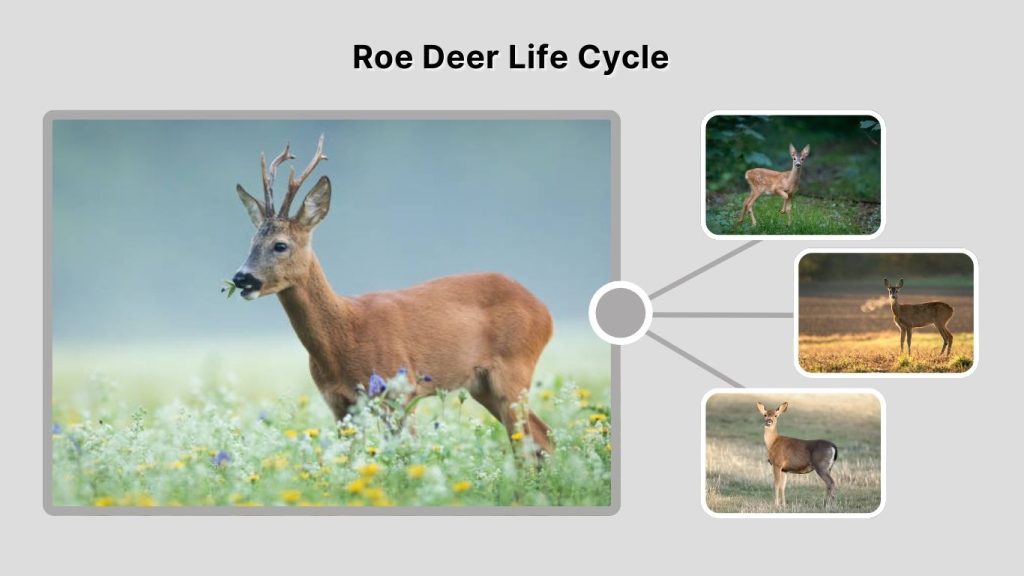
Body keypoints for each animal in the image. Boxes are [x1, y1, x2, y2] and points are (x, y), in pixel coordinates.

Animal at [230, 135, 555, 456]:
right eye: (252, 242)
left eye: (280, 245)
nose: (242, 278)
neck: (344, 336)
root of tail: (545, 312)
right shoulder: (340, 404)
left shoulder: (401, 391)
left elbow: (406, 454)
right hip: (482, 385)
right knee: (542, 437)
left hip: (513, 371)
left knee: (532, 442)